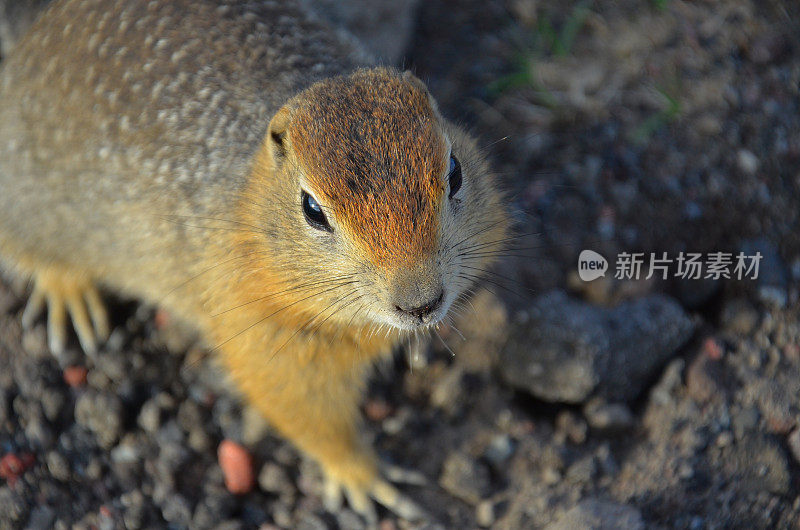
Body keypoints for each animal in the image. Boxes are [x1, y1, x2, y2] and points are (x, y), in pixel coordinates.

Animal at [0, 0, 510, 520]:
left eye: (455, 171)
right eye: (312, 209)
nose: (421, 303)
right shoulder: (265, 337)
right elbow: (308, 414)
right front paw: (364, 479)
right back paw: (69, 295)